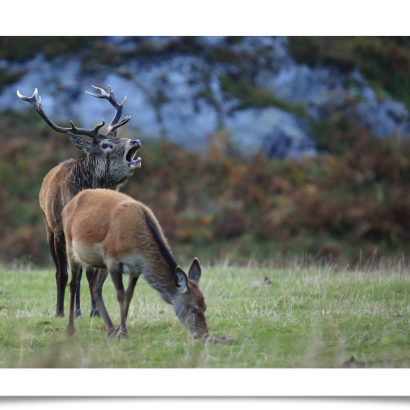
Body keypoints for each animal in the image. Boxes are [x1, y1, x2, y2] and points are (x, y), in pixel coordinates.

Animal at [17, 85, 143, 318]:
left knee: (82, 270)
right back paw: (68, 309)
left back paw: (78, 310)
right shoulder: (59, 230)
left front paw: (95, 311)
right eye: (106, 145)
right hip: (49, 227)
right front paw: (59, 311)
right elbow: (64, 273)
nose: (135, 141)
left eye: (117, 137)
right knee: (62, 270)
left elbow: (92, 271)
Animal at [62, 189, 210, 340]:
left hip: (101, 263)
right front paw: (124, 333)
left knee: (95, 287)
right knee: (73, 283)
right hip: (70, 246)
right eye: (193, 308)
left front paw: (120, 329)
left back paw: (110, 329)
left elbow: (129, 295)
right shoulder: (113, 260)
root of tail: (68, 205)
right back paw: (70, 329)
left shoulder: (135, 268)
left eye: (205, 306)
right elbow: (120, 294)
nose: (204, 335)